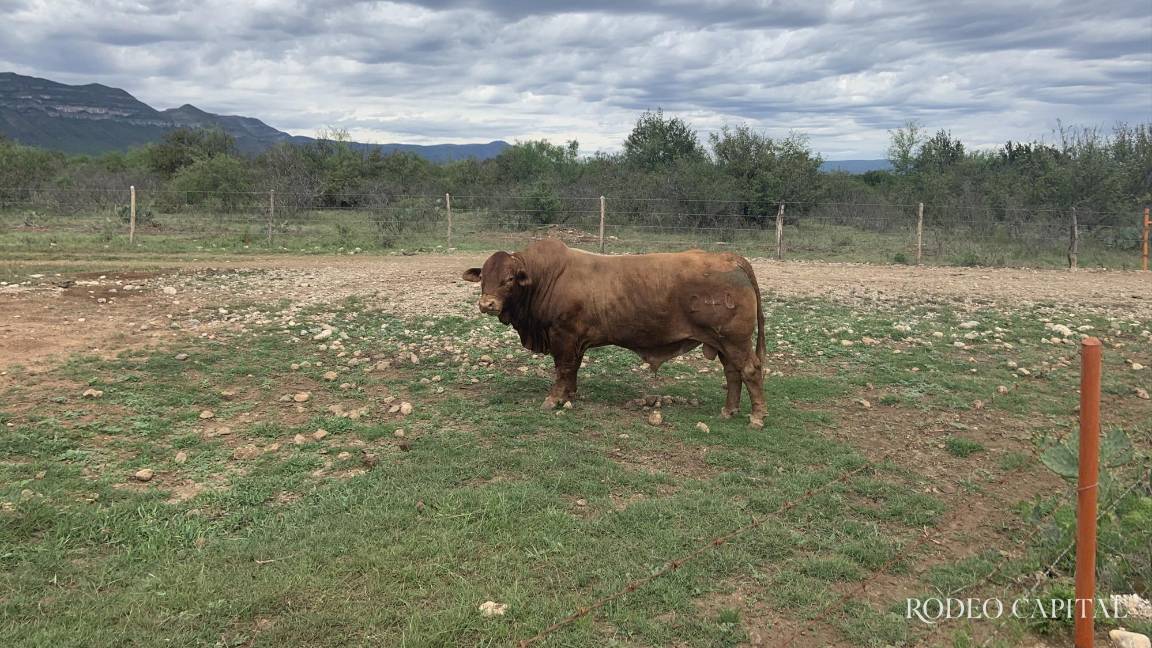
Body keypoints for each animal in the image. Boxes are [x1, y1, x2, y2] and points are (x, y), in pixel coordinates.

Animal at [458, 239, 764, 426]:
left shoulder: (563, 336)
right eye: (483, 278)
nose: (487, 304)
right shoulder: (576, 341)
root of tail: (729, 258)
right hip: (723, 343)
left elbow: (562, 368)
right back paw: (729, 410)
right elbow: (572, 369)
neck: (546, 278)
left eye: (509, 279)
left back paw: (757, 416)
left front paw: (554, 399)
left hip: (735, 341)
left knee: (750, 371)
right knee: (732, 373)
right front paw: (569, 395)